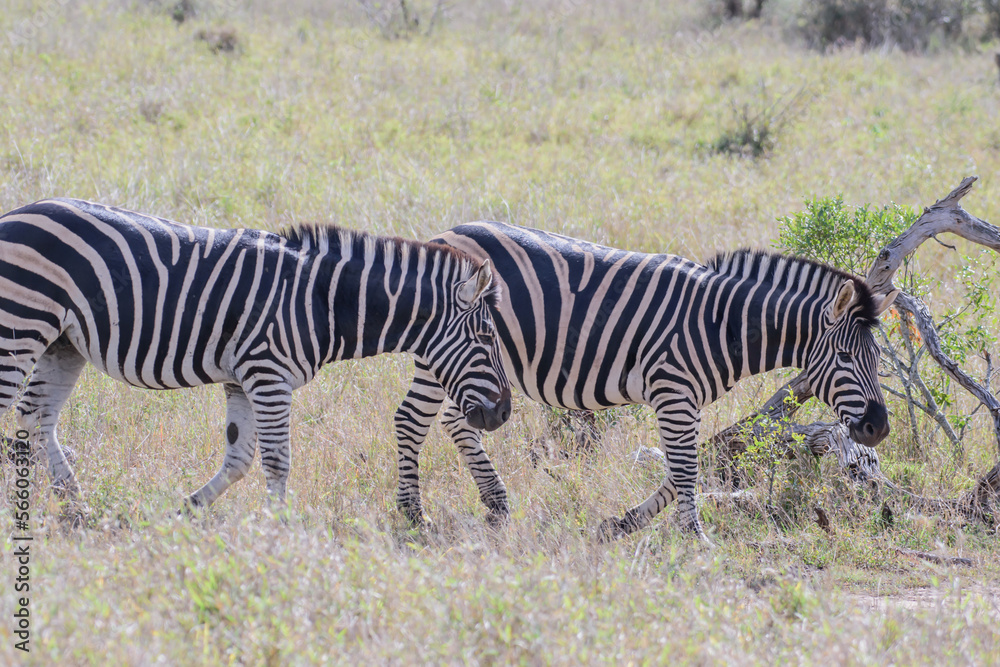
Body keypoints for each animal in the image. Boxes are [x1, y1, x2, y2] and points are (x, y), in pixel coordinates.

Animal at [0, 199, 511, 518]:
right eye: (487, 337)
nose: (504, 414)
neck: (322, 300)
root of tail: (16, 213)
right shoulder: (267, 374)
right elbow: (277, 460)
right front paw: (279, 532)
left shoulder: (240, 380)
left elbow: (239, 458)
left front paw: (185, 511)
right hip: (22, 324)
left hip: (63, 343)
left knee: (35, 416)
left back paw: (76, 508)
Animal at [393, 221, 899, 540]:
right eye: (844, 357)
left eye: (878, 359)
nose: (878, 428)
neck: (722, 324)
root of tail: (447, 233)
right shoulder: (673, 392)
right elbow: (686, 469)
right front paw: (696, 541)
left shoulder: (686, 401)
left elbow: (681, 470)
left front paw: (618, 526)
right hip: (446, 355)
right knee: (411, 421)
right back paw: (414, 518)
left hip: (459, 364)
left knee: (454, 422)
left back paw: (496, 504)